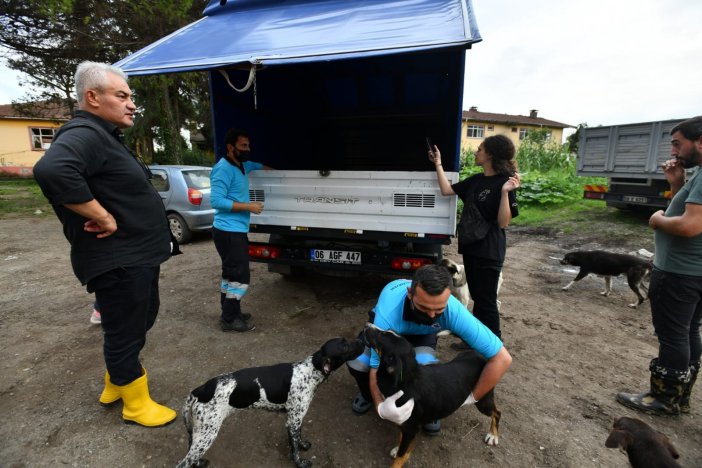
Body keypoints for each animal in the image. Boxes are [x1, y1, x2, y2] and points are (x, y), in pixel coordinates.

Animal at [177, 336, 364, 468]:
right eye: (345, 346)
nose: (363, 340)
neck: (310, 371)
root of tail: (200, 389)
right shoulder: (292, 421)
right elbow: (294, 449)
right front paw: (300, 463)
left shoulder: (295, 419)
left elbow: (299, 437)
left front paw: (303, 444)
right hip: (207, 433)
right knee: (183, 462)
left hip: (200, 434)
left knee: (191, 453)